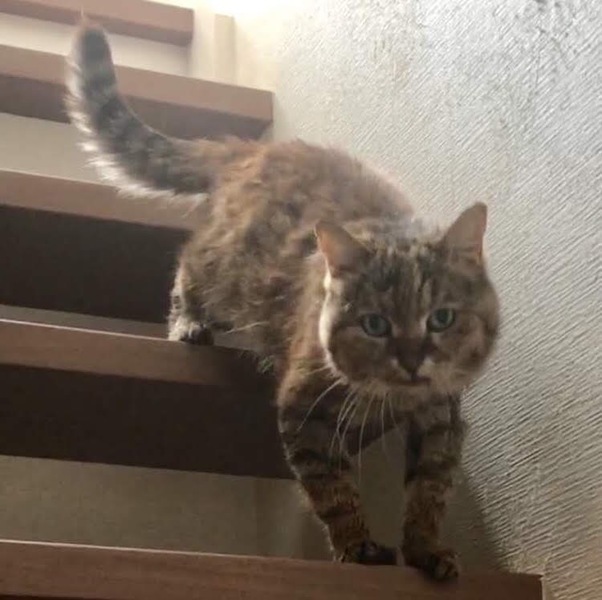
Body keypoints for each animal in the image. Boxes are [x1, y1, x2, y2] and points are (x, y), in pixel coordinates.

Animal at [66, 23, 499, 581]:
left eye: (442, 318)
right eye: (375, 324)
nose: (411, 359)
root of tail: (253, 149)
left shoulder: (442, 415)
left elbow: (431, 488)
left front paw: (426, 549)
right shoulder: (303, 409)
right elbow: (331, 490)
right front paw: (357, 545)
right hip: (224, 266)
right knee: (188, 263)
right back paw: (187, 323)